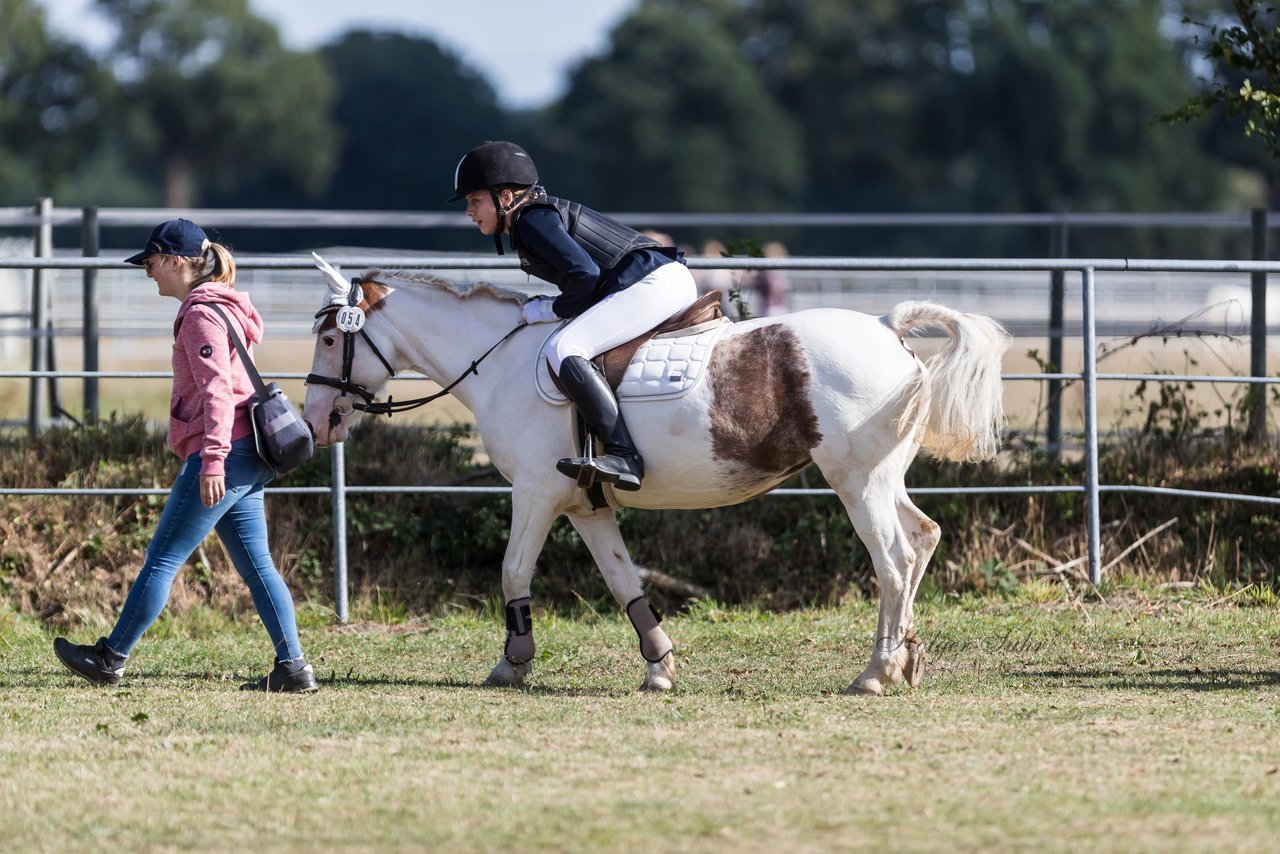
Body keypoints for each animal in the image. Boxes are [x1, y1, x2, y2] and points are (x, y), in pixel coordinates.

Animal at [304, 258, 1003, 696]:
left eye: (331, 340)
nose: (315, 422)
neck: (497, 362)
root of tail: (888, 327)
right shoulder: (584, 504)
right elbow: (625, 583)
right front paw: (660, 668)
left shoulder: (534, 492)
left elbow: (513, 571)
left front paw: (512, 664)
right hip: (884, 479)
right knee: (923, 539)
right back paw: (906, 659)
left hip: (858, 482)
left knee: (893, 560)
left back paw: (874, 673)